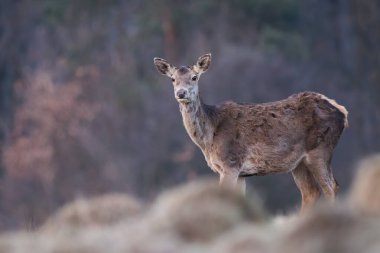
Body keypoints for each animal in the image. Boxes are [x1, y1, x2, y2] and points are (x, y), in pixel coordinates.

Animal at [154, 52, 348, 210]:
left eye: (194, 77)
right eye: (172, 79)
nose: (181, 93)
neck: (208, 138)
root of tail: (342, 112)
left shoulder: (230, 163)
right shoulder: (241, 173)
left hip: (321, 149)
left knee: (331, 187)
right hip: (298, 162)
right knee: (311, 193)